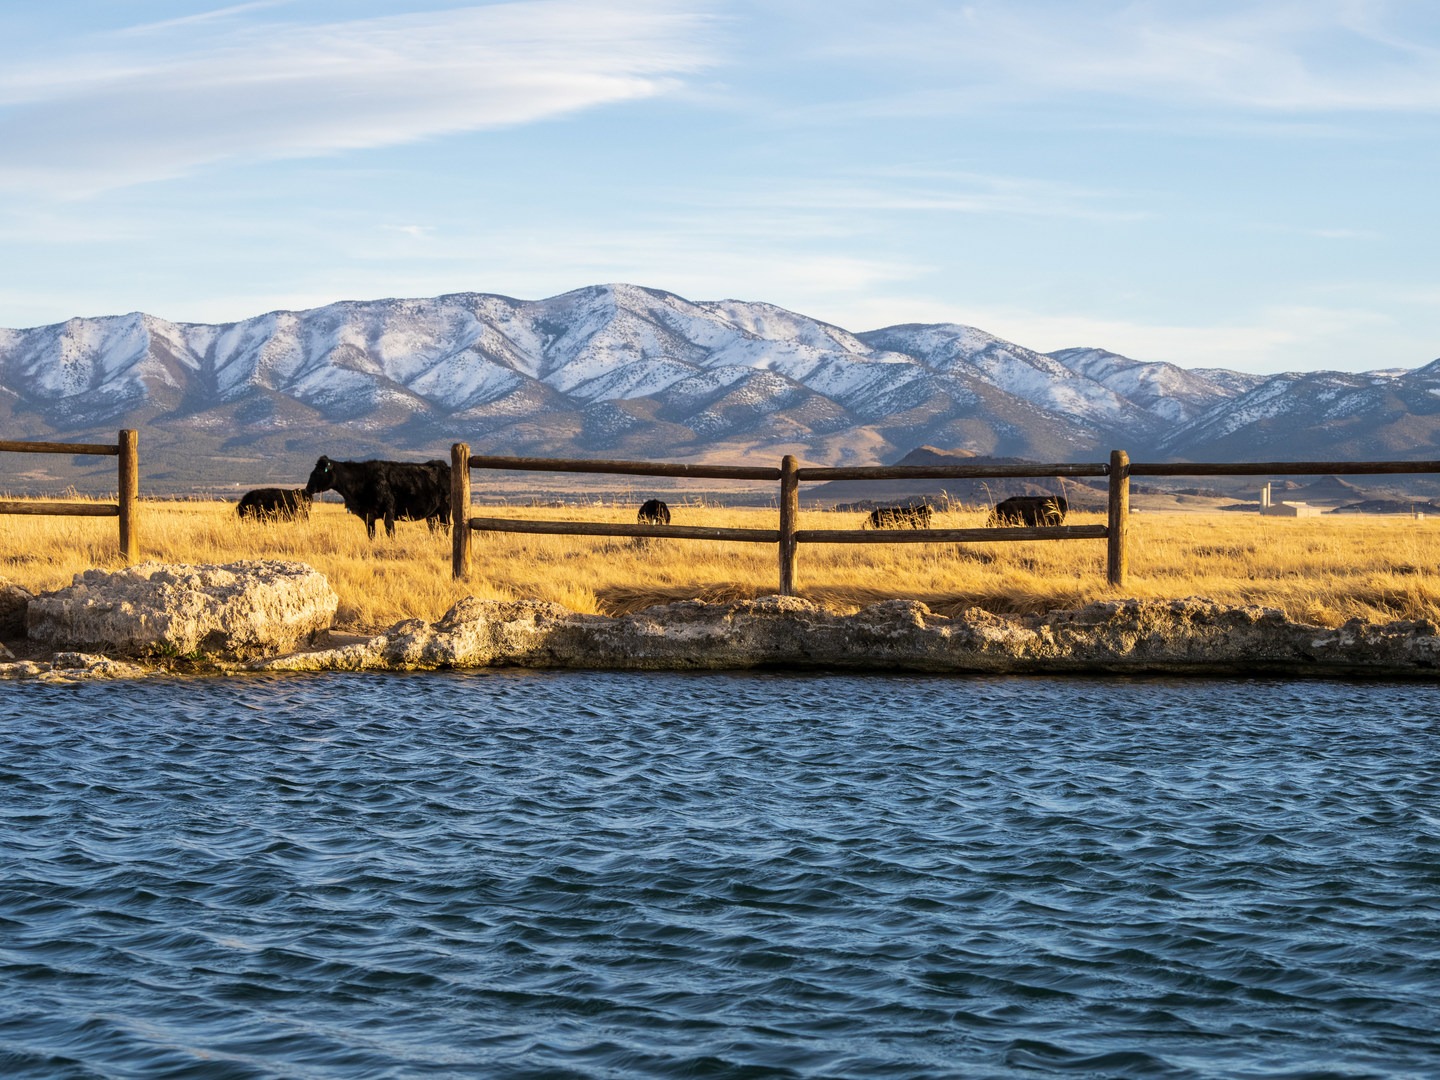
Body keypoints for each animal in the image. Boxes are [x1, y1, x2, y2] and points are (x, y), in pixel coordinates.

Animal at [304, 456, 451, 539]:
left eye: (318, 472)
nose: (308, 488)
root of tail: (444, 466)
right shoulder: (368, 516)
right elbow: (371, 534)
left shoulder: (389, 510)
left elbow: (390, 531)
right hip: (432, 514)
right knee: (434, 528)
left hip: (445, 510)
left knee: (446, 527)